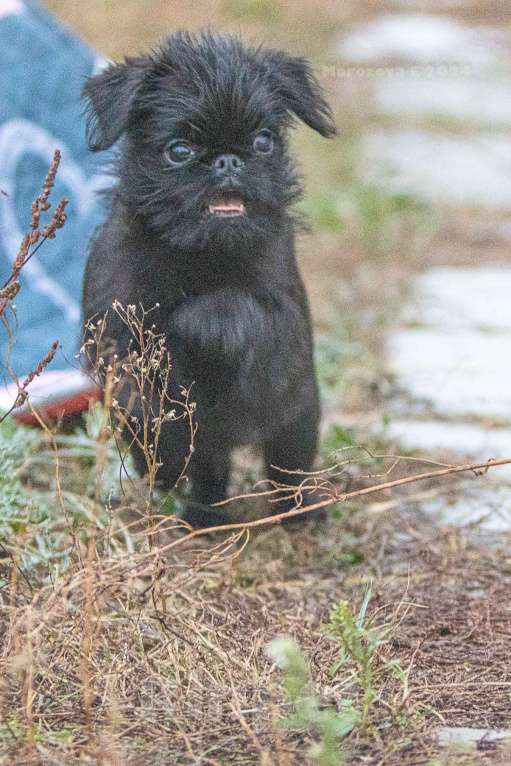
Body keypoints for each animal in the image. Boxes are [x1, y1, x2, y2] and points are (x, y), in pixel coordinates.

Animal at [82, 33, 338, 532]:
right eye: (179, 150)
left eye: (263, 141)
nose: (228, 160)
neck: (202, 255)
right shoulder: (118, 329)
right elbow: (146, 392)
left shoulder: (282, 313)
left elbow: (235, 309)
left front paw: (206, 321)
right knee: (201, 468)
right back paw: (200, 513)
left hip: (299, 412)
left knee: (287, 464)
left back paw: (297, 510)